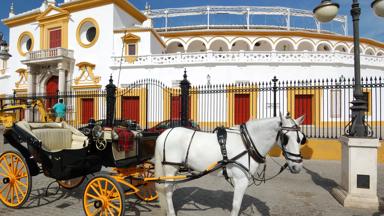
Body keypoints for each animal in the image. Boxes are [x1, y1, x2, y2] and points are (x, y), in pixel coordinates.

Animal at [153, 114, 306, 215]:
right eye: (285, 138)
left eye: (301, 139)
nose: (297, 167)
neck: (247, 143)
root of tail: (166, 132)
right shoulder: (241, 180)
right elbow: (236, 206)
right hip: (170, 168)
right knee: (167, 190)